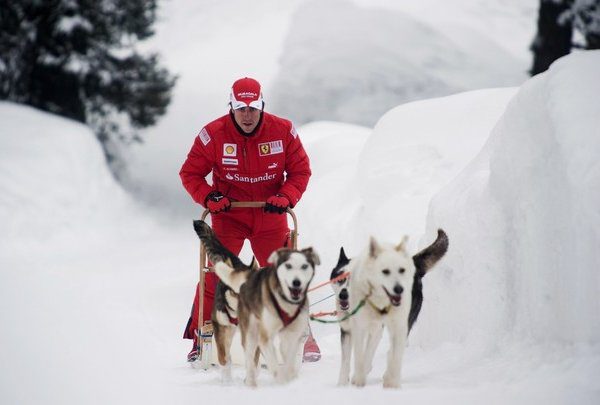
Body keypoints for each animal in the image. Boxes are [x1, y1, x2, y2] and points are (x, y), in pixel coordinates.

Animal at [346, 229, 446, 386]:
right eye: (385, 271)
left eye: (400, 271)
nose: (399, 289)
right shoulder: (361, 326)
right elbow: (362, 353)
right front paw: (359, 378)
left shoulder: (380, 329)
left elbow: (370, 353)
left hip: (403, 322)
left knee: (392, 352)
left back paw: (389, 376)